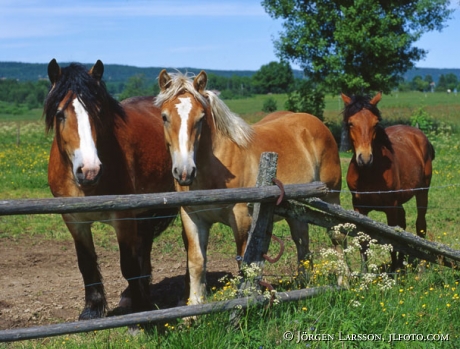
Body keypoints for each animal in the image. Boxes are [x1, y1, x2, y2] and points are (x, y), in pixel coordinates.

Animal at [43, 59, 176, 318]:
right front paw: (92, 309)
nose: (89, 171)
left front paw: (140, 307)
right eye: (60, 114)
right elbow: (86, 263)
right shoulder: (74, 220)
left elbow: (128, 264)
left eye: (98, 112)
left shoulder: (122, 217)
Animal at [155, 69, 344, 304]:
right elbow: (197, 263)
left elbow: (244, 264)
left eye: (200, 117)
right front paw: (195, 307)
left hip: (332, 199)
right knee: (302, 242)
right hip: (297, 209)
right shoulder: (192, 218)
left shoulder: (242, 220)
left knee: (337, 236)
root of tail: (317, 124)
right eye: (164, 116)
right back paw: (303, 286)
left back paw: (344, 281)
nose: (184, 172)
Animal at [342, 92, 434, 272]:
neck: (369, 173)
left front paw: (394, 270)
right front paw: (365, 273)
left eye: (375, 123)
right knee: (403, 225)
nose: (365, 159)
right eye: (350, 123)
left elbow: (392, 238)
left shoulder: (390, 207)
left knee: (420, 226)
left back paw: (420, 267)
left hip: (422, 193)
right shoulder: (359, 208)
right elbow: (364, 241)